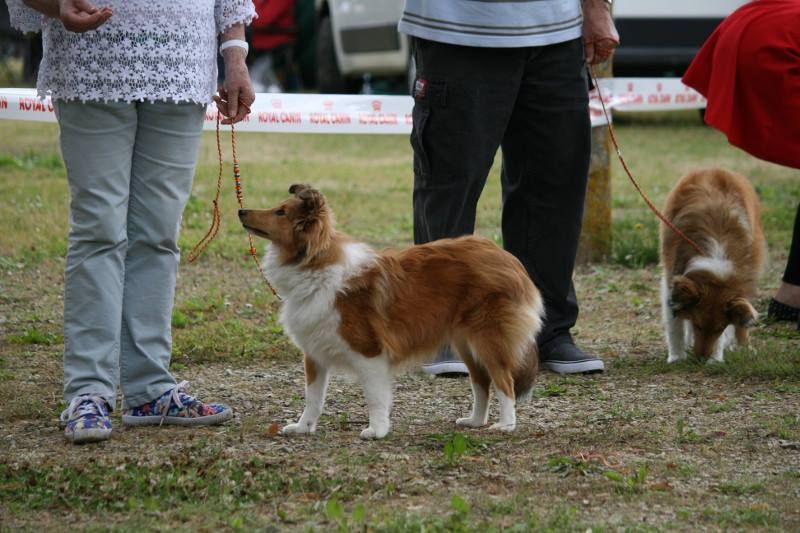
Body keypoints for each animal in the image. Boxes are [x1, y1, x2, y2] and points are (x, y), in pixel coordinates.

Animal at [238, 185, 544, 438]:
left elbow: (375, 396)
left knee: (504, 381)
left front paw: (377, 430)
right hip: (465, 342)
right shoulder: (314, 352)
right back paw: (475, 421)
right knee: (481, 381)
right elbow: (313, 397)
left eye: (281, 212)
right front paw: (303, 427)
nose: (241, 210)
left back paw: (506, 424)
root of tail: (507, 257)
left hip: (488, 338)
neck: (315, 266)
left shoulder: (369, 353)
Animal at [660, 168, 764, 364]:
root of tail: (715, 169)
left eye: (719, 329)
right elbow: (675, 325)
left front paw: (715, 358)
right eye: (697, 325)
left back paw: (743, 346)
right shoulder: (671, 277)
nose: (701, 359)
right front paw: (677, 356)